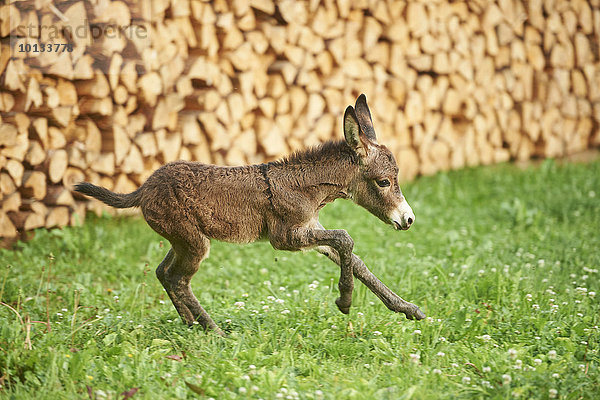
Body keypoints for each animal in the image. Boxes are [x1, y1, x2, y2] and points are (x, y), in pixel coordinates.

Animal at [76, 95, 426, 336]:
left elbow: (354, 260)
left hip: (181, 239)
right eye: (384, 182)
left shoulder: (310, 230)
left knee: (164, 273)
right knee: (178, 278)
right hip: (193, 241)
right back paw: (214, 331)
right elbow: (346, 239)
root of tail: (144, 188)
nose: (408, 220)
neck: (308, 189)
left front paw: (407, 309)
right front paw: (345, 302)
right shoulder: (286, 237)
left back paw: (191, 325)